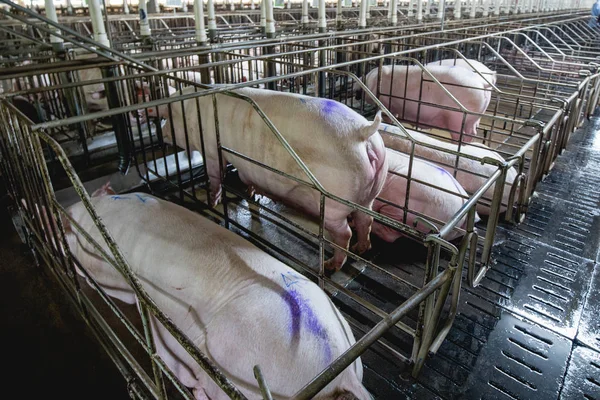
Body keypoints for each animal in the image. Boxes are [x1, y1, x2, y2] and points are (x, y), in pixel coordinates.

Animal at [143, 85, 386, 270]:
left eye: (167, 117)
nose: (161, 134)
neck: (191, 112)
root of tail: (362, 131)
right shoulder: (246, 165)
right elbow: (245, 177)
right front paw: (251, 194)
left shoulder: (212, 147)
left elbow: (215, 173)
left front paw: (212, 201)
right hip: (370, 194)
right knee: (367, 220)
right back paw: (362, 248)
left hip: (334, 204)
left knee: (344, 233)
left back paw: (330, 265)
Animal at [360, 63, 492, 143]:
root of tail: (482, 84)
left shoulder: (387, 103)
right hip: (475, 118)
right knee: (473, 132)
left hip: (457, 118)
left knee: (460, 135)